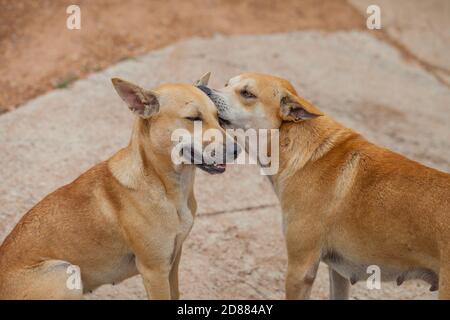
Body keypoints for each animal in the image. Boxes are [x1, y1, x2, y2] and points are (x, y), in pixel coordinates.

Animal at [0, 74, 239, 298]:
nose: (237, 150)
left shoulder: (173, 261)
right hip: (63, 272)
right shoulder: (155, 271)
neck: (165, 185)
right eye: (193, 118)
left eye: (219, 118)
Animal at [200, 73, 450, 300]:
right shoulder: (337, 272)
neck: (291, 141)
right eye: (227, 84)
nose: (204, 89)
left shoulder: (301, 269)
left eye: (247, 94)